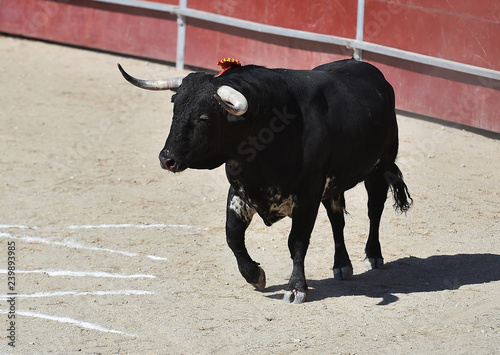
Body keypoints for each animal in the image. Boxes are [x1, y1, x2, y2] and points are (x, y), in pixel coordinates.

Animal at [119, 58, 412, 304]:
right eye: (175, 109)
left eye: (203, 118)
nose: (166, 158)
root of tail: (375, 74)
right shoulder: (240, 191)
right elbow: (233, 236)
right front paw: (255, 275)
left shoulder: (307, 197)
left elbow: (297, 242)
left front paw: (296, 288)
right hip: (335, 184)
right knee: (336, 219)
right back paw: (341, 264)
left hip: (380, 167)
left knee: (374, 210)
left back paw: (373, 255)